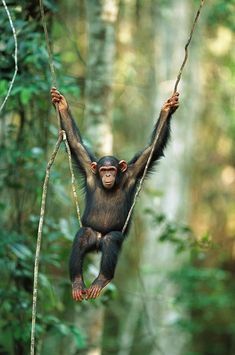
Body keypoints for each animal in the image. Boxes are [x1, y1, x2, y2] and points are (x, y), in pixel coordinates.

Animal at [50, 87, 179, 302]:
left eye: (111, 169)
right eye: (103, 170)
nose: (108, 175)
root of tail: (98, 243)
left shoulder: (134, 171)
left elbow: (153, 147)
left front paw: (167, 108)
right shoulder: (88, 169)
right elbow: (75, 143)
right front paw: (61, 103)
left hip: (109, 239)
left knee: (112, 240)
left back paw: (102, 279)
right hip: (91, 234)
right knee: (83, 235)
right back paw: (77, 283)